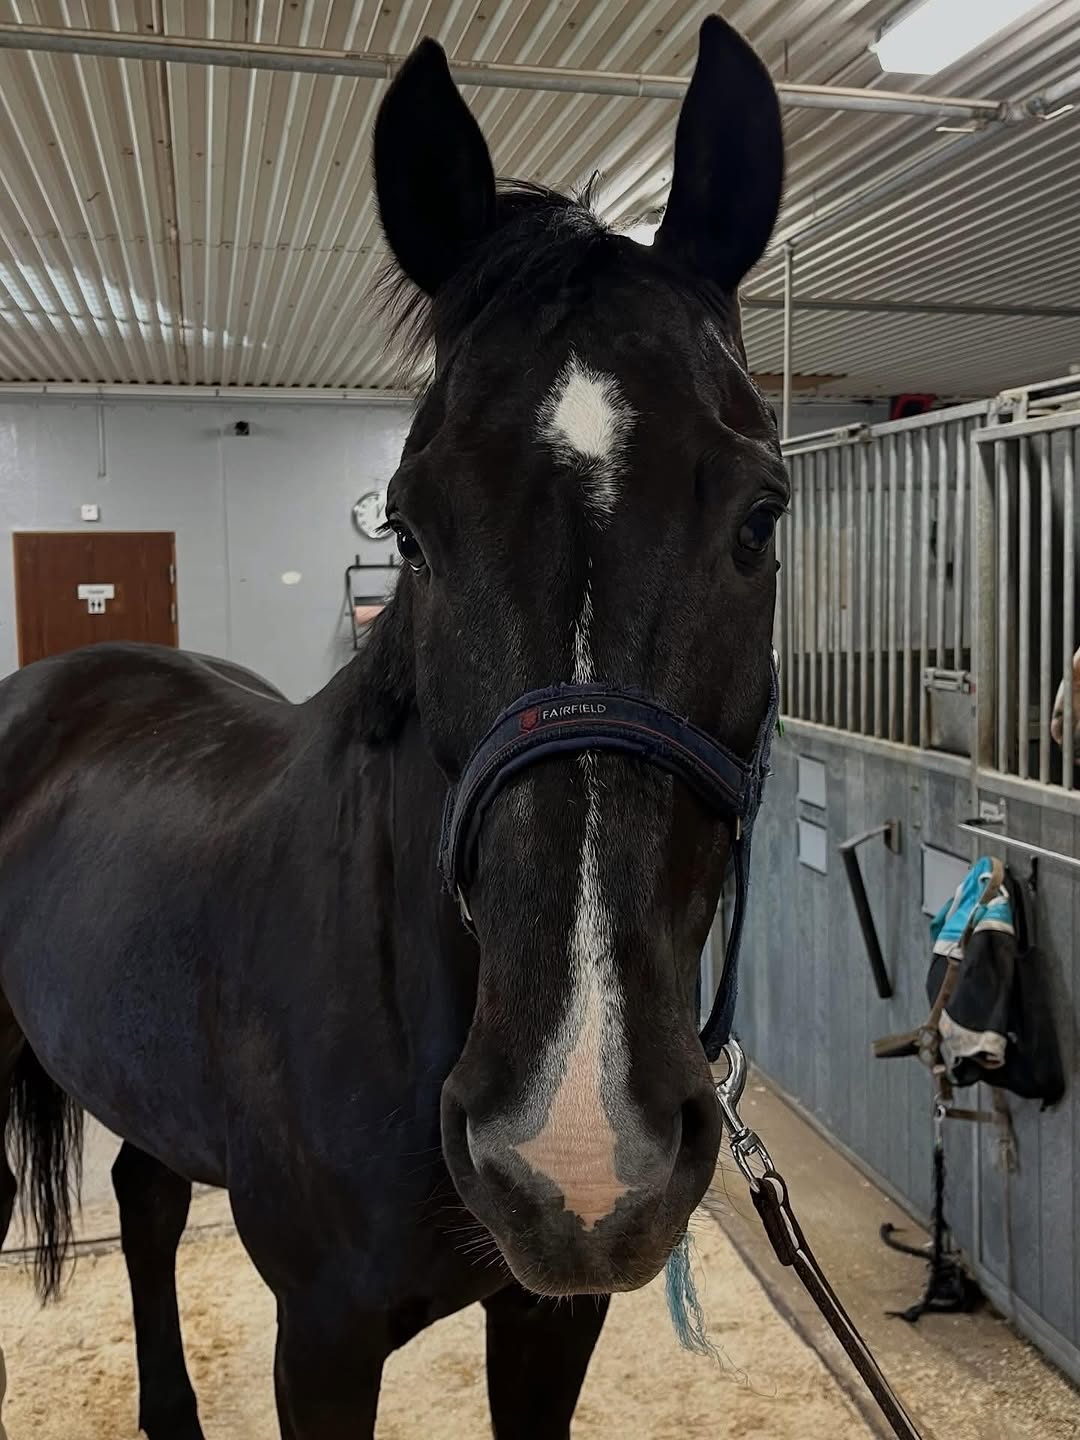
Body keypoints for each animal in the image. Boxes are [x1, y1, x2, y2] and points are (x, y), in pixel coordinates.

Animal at [0, 16, 786, 1439]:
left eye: (761, 515)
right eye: (408, 526)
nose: (575, 1147)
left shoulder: (550, 1318)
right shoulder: (321, 1338)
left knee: (144, 1198)